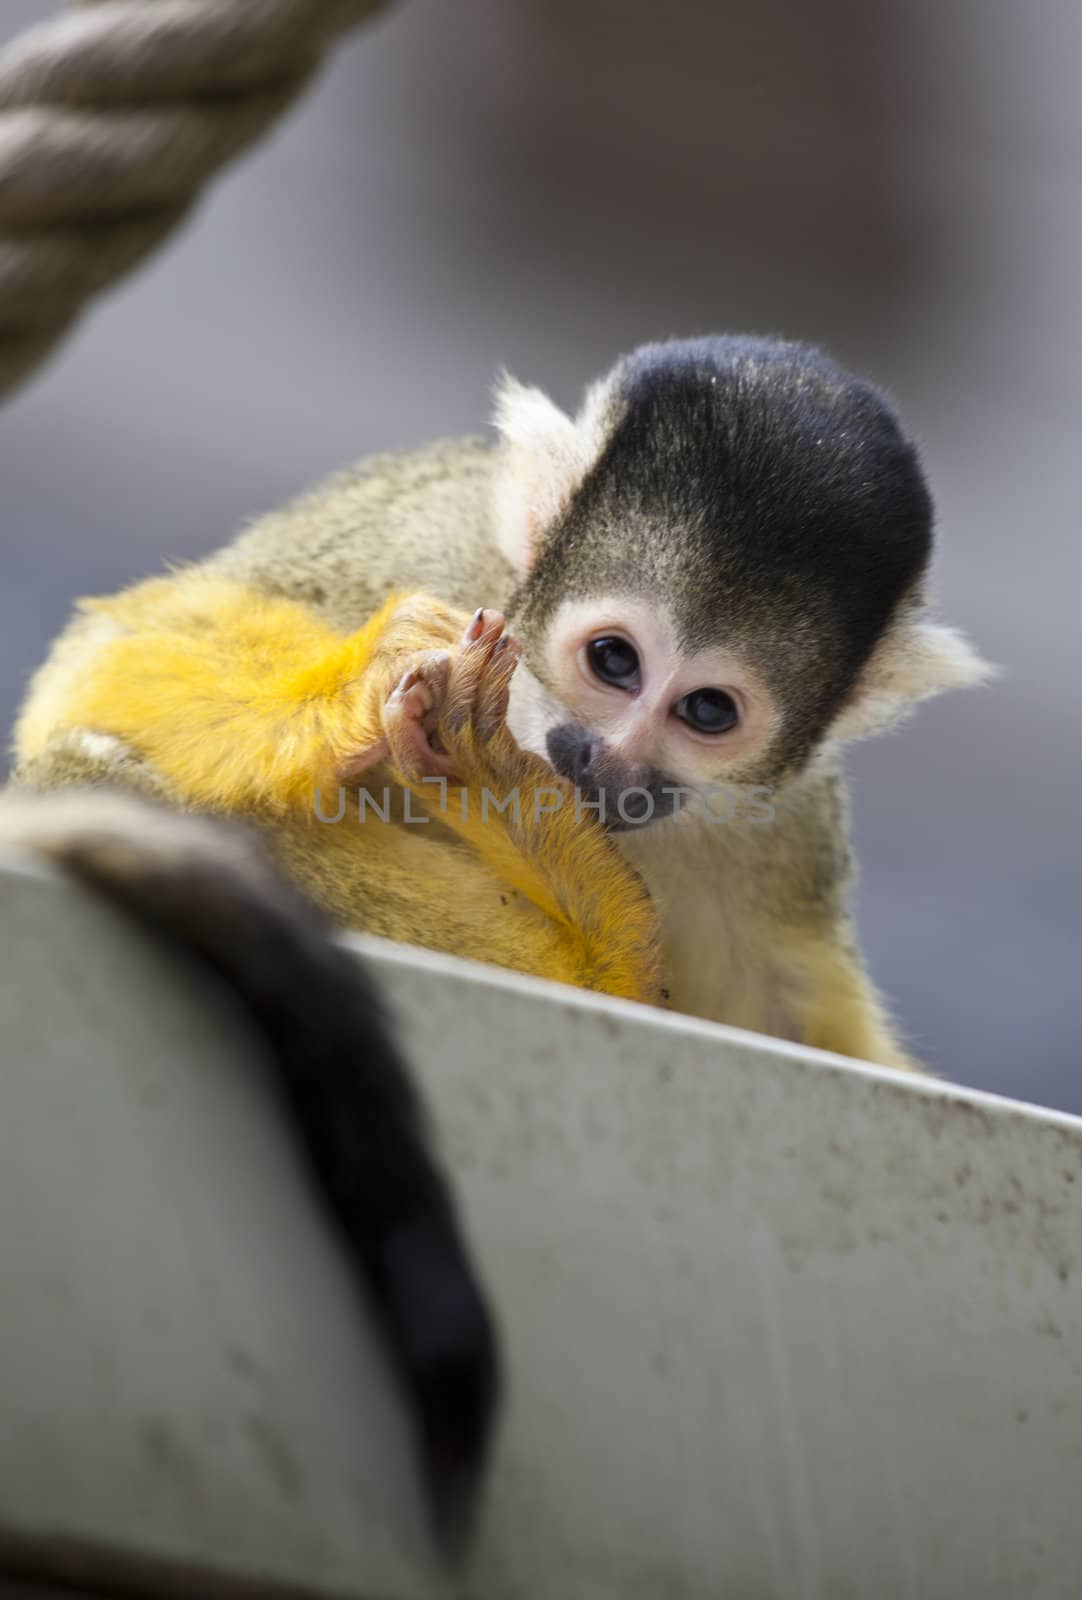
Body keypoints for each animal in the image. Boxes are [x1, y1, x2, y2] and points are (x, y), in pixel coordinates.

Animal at [10, 331, 985, 1068]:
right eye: (614, 660)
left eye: (708, 712)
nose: (610, 766)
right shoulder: (427, 549)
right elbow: (126, 647)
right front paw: (355, 692)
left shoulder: (788, 822)